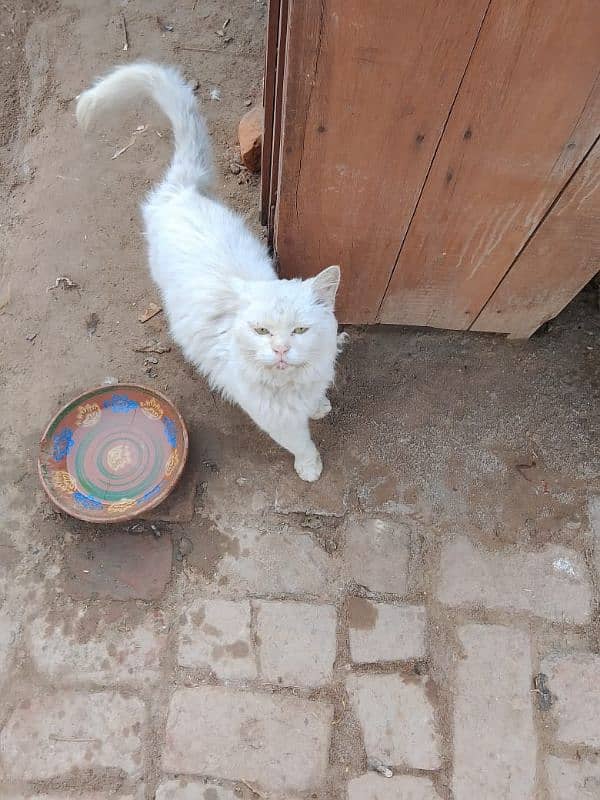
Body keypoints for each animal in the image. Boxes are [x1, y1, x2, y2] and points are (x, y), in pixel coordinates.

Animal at [77, 62, 344, 482]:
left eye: (300, 331)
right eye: (261, 331)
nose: (281, 350)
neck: (292, 380)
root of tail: (180, 190)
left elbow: (316, 397)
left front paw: (319, 406)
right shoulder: (275, 418)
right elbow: (301, 442)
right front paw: (310, 467)